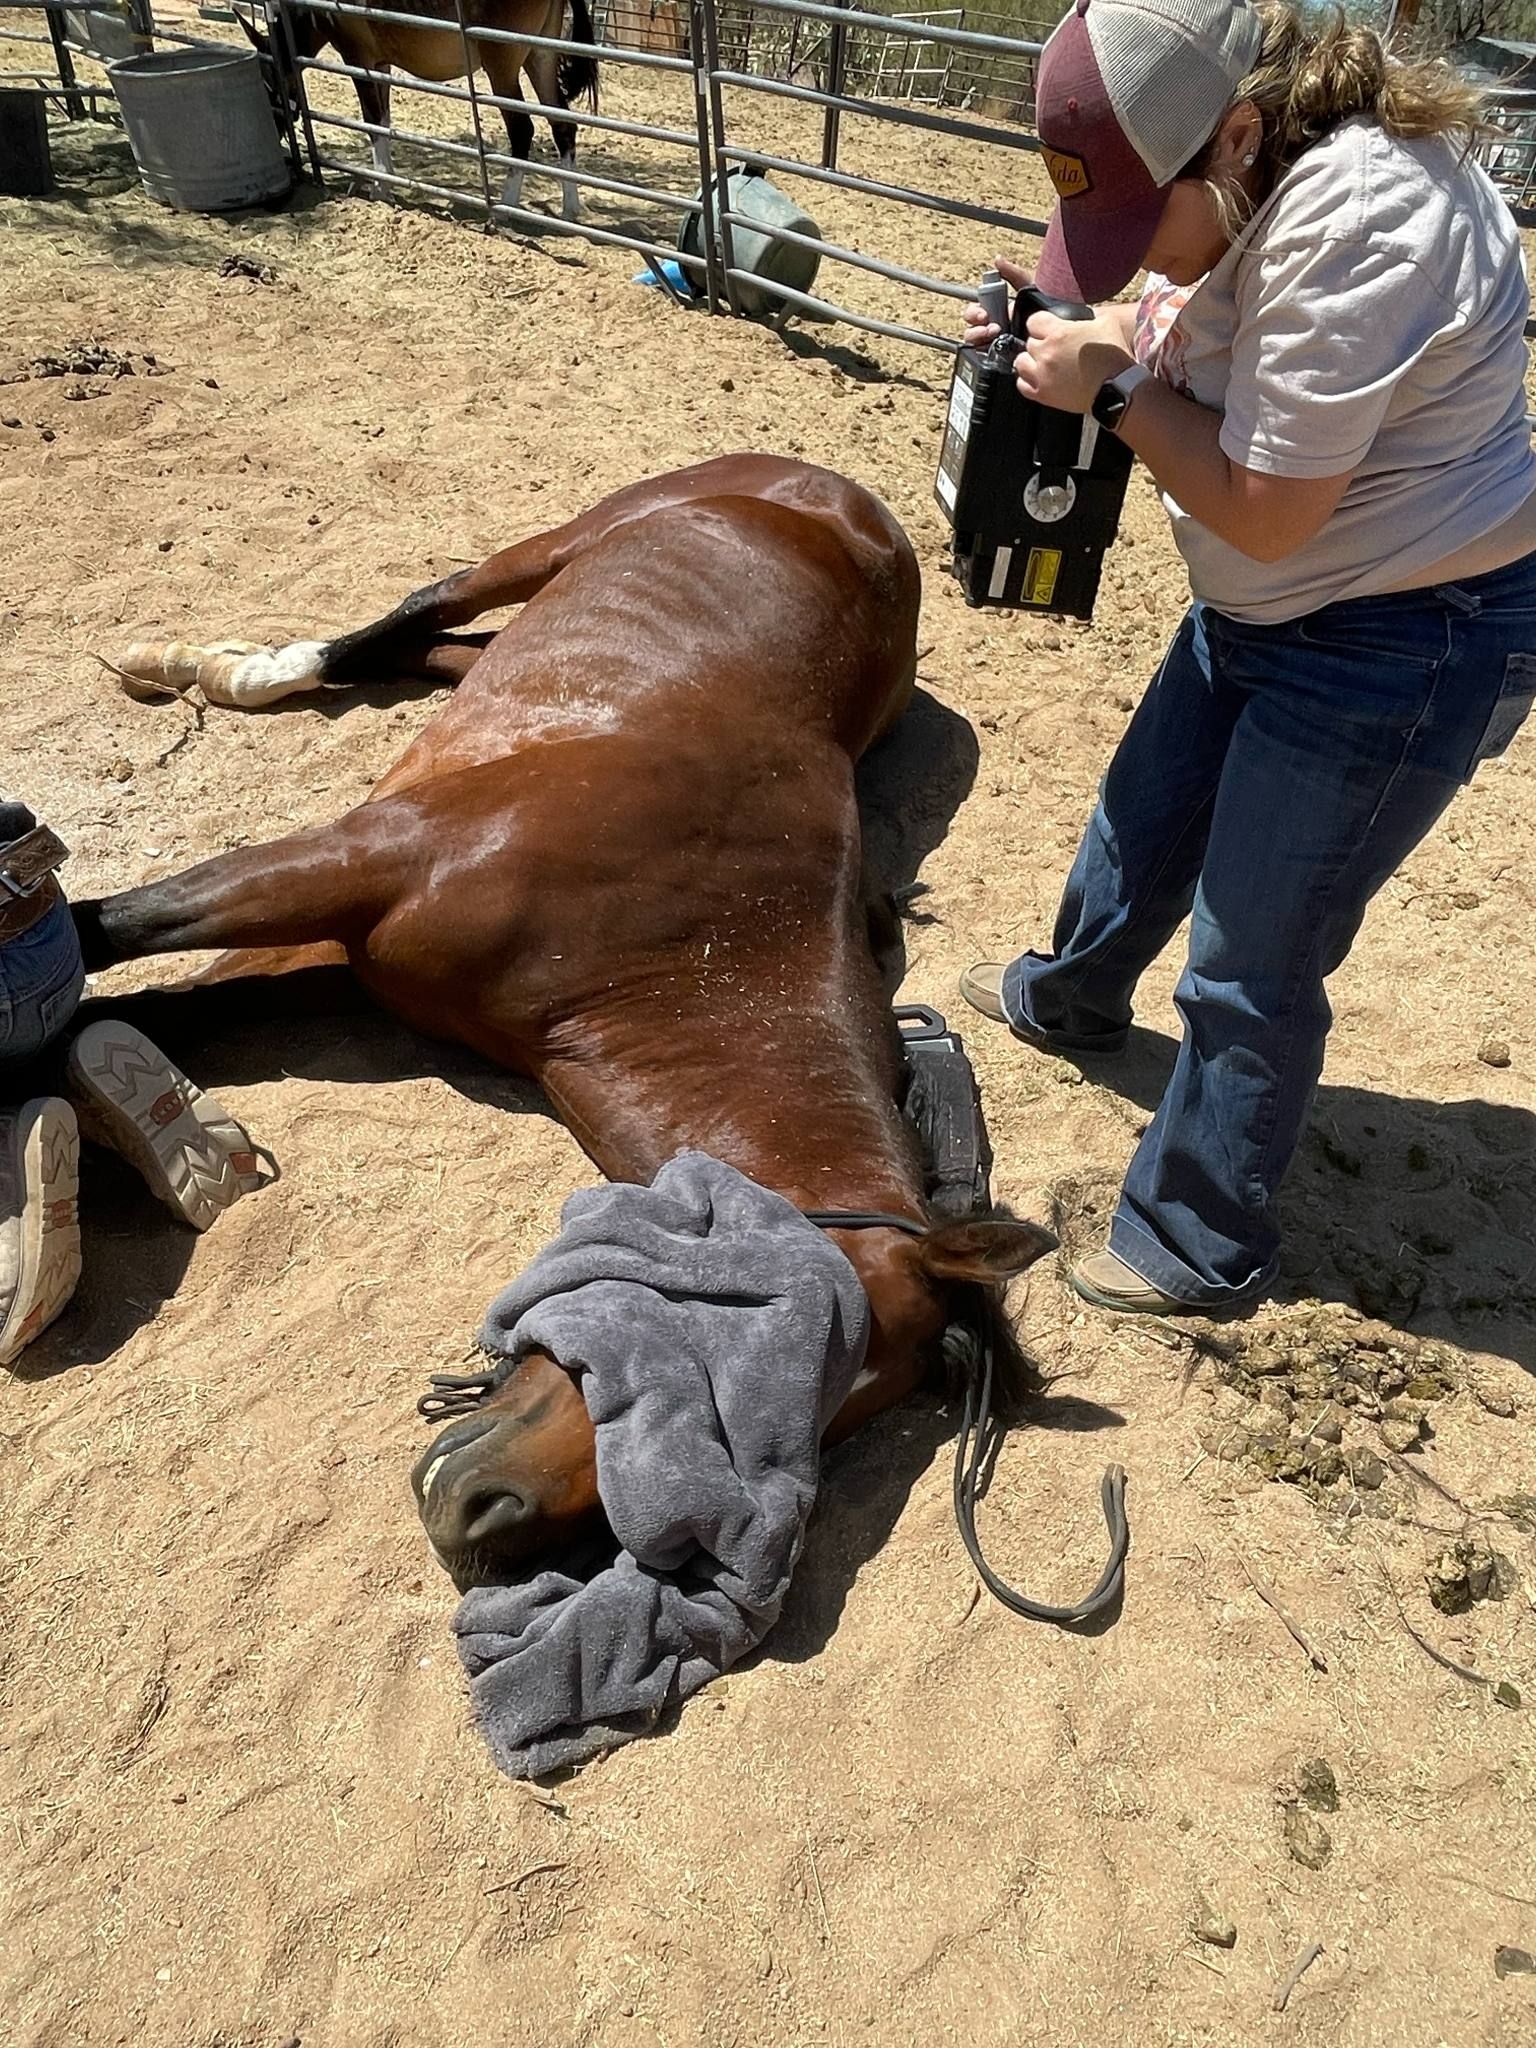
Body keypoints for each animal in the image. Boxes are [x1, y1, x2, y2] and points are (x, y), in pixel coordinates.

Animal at [83, 456, 1058, 1595]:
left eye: (830, 1423)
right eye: (759, 1338)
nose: (490, 1524)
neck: (695, 922)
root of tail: (852, 505)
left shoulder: (352, 968)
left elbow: (171, 1010)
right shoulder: (358, 858)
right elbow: (114, 927)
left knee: (440, 652)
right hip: (566, 539)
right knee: (419, 612)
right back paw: (213, 666)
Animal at [240, 0, 600, 222]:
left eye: (264, 82)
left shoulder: (358, 59)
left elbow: (372, 121)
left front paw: (380, 188)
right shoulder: (380, 63)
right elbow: (384, 121)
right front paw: (386, 178)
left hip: (502, 67)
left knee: (522, 130)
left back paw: (503, 210)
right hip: (541, 56)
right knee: (562, 126)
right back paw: (570, 209)